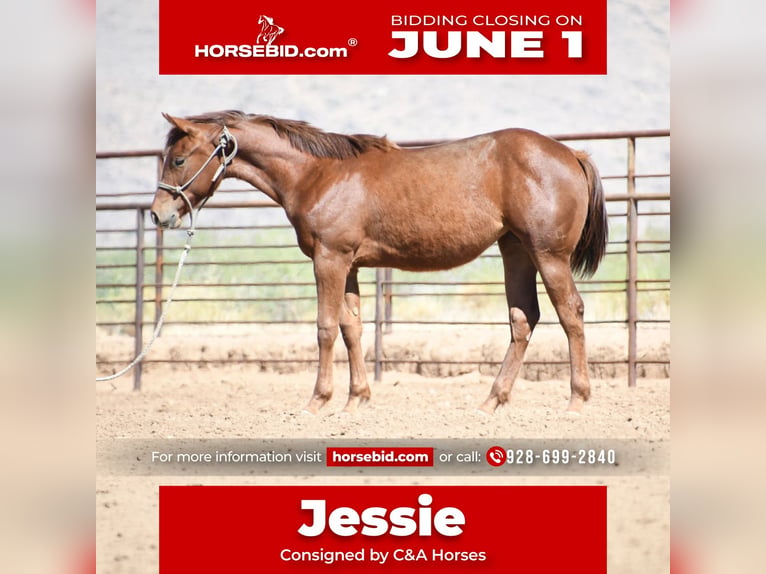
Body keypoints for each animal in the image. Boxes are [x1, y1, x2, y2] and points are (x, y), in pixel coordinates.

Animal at [151, 111, 608, 415]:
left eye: (178, 159)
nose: (158, 215)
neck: (318, 175)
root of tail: (571, 153)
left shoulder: (329, 260)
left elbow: (324, 328)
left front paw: (318, 400)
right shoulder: (348, 265)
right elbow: (351, 329)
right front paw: (356, 399)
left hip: (548, 255)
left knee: (571, 313)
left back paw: (577, 399)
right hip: (515, 251)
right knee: (523, 318)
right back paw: (492, 401)